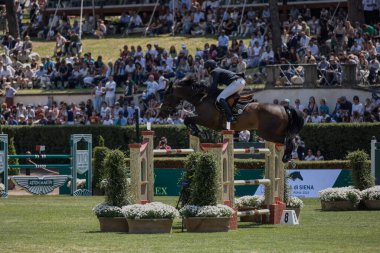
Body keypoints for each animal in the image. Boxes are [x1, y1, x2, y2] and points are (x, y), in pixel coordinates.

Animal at [159, 76, 304, 162]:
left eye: (166, 95)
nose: (161, 113)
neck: (201, 98)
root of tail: (284, 108)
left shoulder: (207, 121)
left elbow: (188, 119)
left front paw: (195, 131)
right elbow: (189, 119)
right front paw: (195, 131)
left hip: (266, 133)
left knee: (289, 140)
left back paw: (287, 157)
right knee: (292, 139)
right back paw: (290, 156)